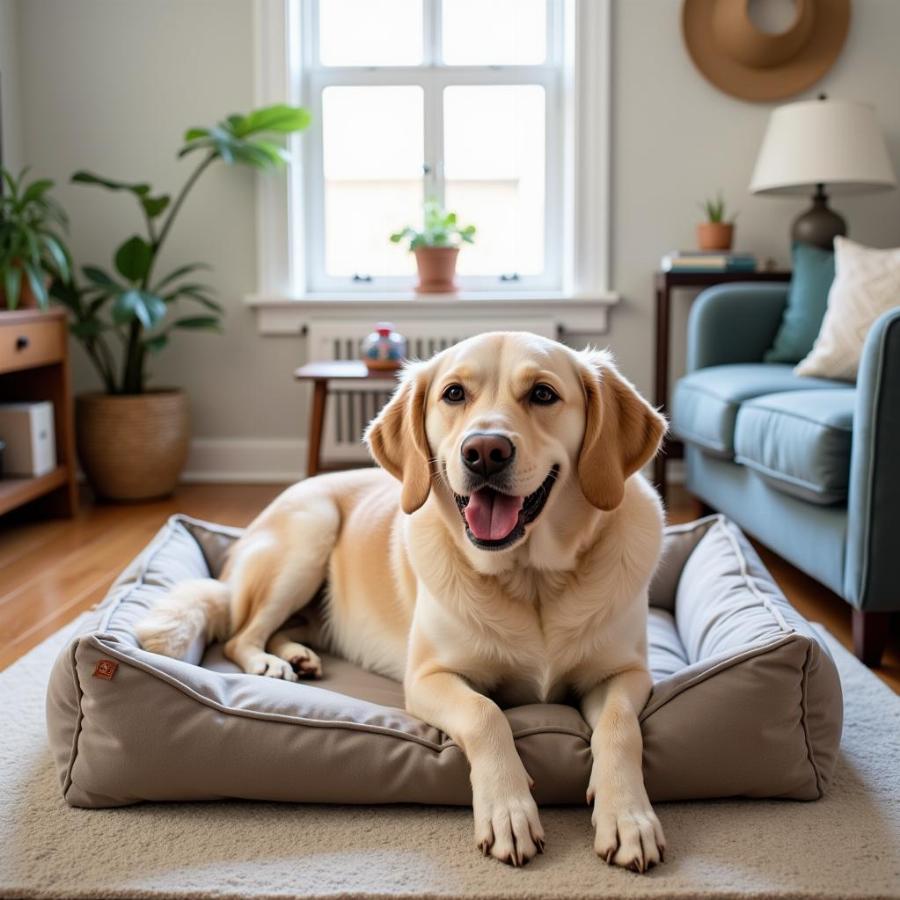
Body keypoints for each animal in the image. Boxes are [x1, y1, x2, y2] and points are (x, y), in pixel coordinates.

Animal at [135, 332, 668, 872]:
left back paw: (298, 656)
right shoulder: (429, 679)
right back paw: (270, 663)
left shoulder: (625, 674)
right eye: (454, 394)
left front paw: (628, 818)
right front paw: (508, 810)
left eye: (543, 394)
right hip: (309, 534)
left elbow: (621, 727)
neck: (530, 578)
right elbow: (486, 715)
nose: (485, 451)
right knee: (240, 634)